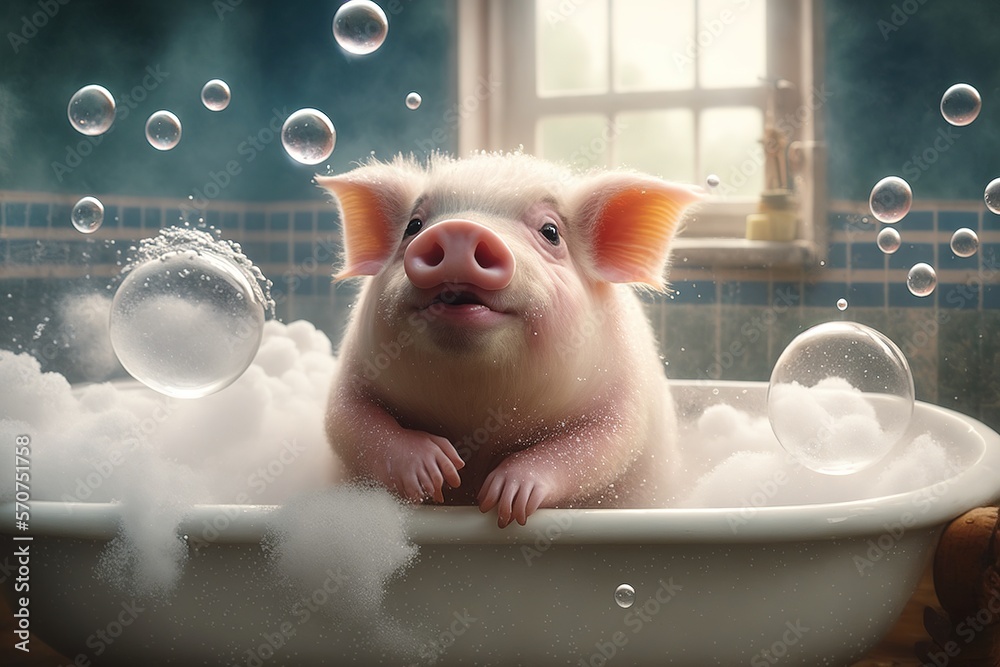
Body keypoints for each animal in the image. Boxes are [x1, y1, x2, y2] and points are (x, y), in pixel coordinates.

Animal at [318, 152, 700, 527]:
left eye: (551, 232)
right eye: (414, 226)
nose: (460, 228)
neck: (474, 412)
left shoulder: (627, 399)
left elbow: (601, 447)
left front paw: (502, 499)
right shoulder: (352, 374)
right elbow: (349, 422)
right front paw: (439, 471)